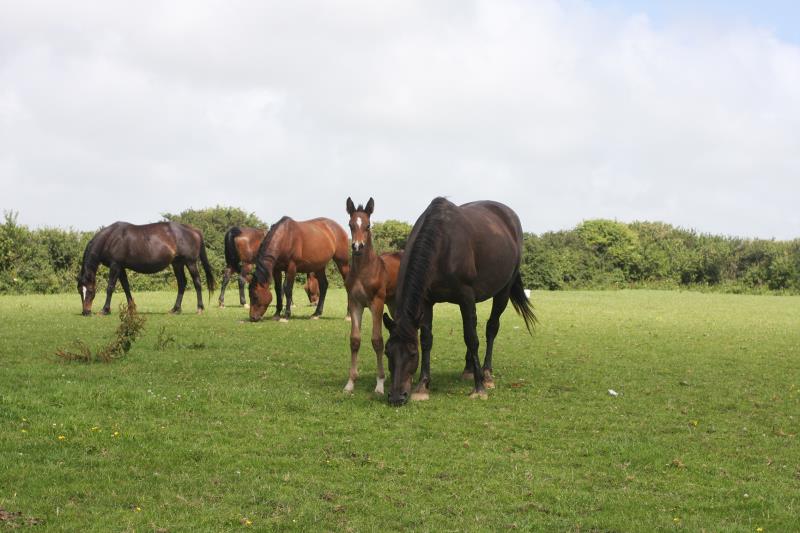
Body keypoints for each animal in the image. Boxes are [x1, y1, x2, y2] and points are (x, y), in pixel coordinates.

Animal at [77, 221, 216, 316]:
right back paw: (175, 309)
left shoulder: (115, 265)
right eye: (80, 291)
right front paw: (131, 308)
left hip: (190, 262)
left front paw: (105, 310)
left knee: (197, 282)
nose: (85, 312)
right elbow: (126, 287)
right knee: (182, 283)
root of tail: (194, 230)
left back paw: (199, 308)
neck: (110, 238)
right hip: (177, 263)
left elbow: (110, 287)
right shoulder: (121, 267)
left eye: (90, 291)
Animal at [342, 197, 404, 392]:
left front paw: (380, 384)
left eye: (368, 225)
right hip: (393, 304)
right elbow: (354, 340)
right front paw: (350, 383)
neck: (364, 271)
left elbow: (377, 340)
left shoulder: (377, 303)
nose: (357, 246)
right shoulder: (355, 303)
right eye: (350, 224)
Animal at [382, 197, 536, 406]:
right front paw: (422, 386)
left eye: (413, 353)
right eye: (387, 352)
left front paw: (479, 388)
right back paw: (469, 369)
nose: (397, 396)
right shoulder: (427, 302)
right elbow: (427, 339)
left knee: (491, 328)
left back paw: (487, 374)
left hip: (503, 291)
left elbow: (471, 338)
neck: (442, 245)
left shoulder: (466, 296)